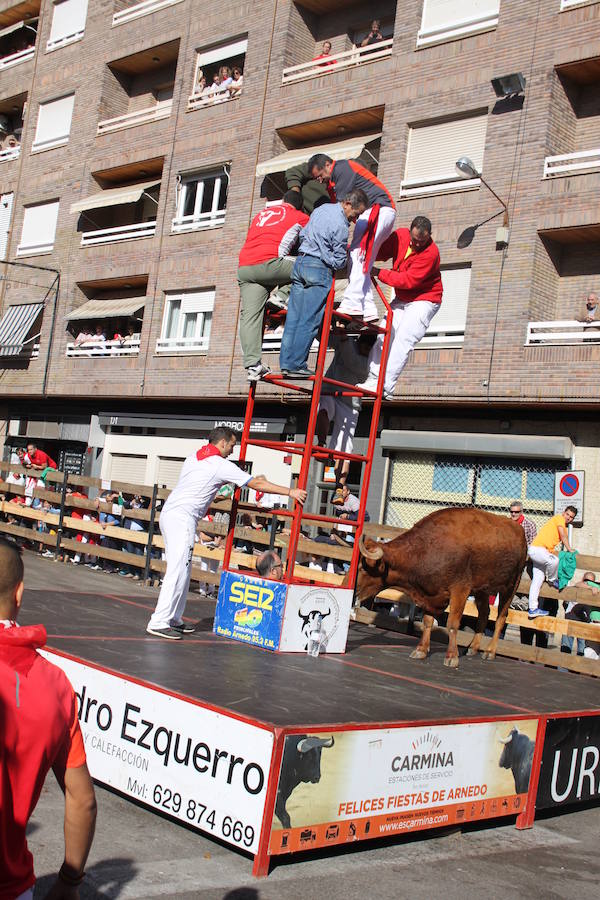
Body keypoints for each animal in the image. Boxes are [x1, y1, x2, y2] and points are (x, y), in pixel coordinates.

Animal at [356, 506, 524, 668]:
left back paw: (490, 651)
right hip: (482, 591)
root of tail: (518, 530)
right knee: (484, 614)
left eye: (362, 568)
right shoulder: (431, 595)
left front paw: (452, 657)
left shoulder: (460, 590)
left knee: (501, 618)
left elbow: (452, 624)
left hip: (510, 587)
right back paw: (473, 648)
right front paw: (421, 650)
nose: (353, 588)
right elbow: (427, 622)